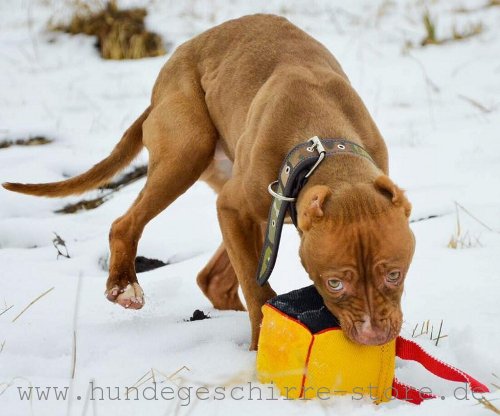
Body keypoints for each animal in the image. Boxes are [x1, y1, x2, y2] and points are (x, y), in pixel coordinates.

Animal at [2, 14, 414, 350]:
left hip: (256, 210)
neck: (324, 147)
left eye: (394, 274)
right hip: (189, 149)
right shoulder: (232, 208)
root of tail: (163, 79)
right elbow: (256, 285)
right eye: (334, 283)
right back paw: (124, 286)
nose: (374, 336)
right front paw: (259, 344)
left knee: (211, 278)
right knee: (125, 223)